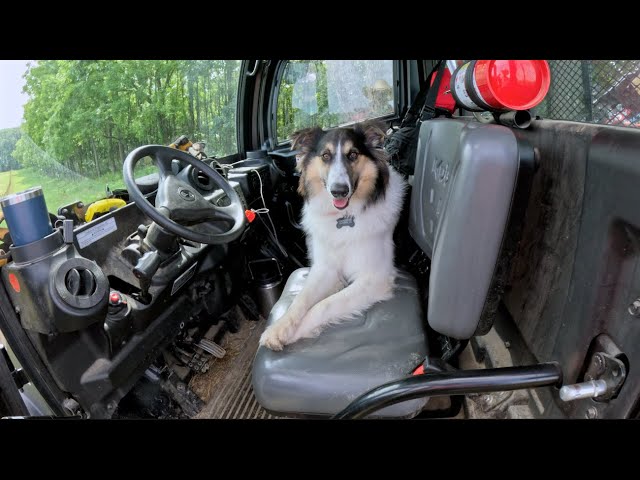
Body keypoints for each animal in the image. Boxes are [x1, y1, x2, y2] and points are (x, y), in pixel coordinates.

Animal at [258, 122, 404, 350]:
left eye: (353, 155)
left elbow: (323, 306)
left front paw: (298, 331)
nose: (339, 191)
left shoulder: (375, 278)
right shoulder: (324, 268)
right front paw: (278, 328)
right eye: (325, 156)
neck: (344, 218)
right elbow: (300, 299)